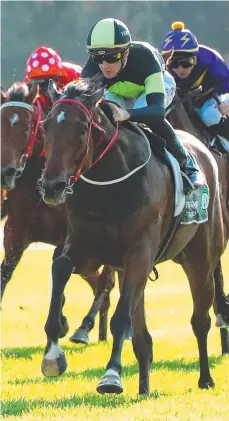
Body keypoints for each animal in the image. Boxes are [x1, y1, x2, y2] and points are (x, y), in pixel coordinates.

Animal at [0, 83, 114, 344]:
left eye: (27, 126)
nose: (5, 173)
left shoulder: (69, 235)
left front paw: (61, 322)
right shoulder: (15, 231)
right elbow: (5, 273)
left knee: (106, 279)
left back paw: (87, 326)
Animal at [39, 78, 227, 394]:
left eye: (82, 128)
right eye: (45, 127)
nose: (52, 186)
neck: (109, 183)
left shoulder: (139, 252)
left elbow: (120, 319)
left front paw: (111, 376)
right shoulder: (87, 248)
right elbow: (61, 266)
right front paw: (53, 353)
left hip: (200, 257)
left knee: (200, 319)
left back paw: (205, 378)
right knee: (142, 336)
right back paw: (143, 386)